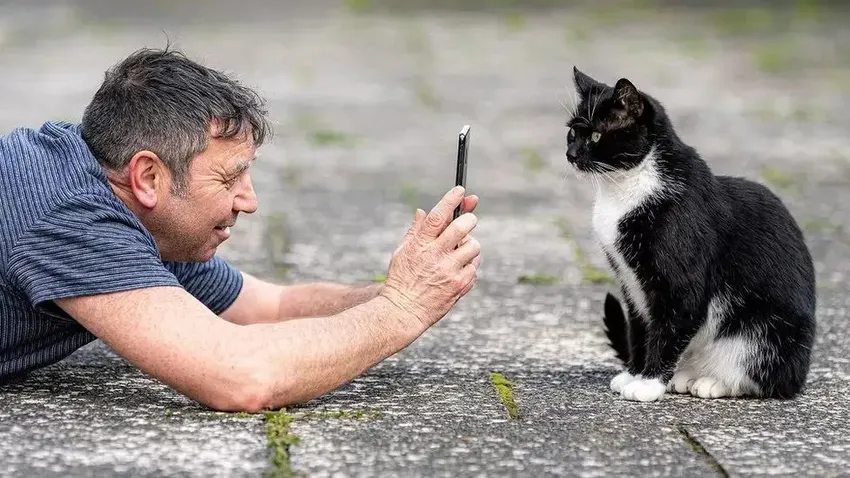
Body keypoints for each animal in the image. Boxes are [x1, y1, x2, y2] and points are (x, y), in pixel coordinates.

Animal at [564, 65, 816, 402]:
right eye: (571, 132)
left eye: (595, 135)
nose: (570, 153)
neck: (624, 189)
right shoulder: (631, 283)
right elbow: (639, 328)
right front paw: (634, 374)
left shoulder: (681, 279)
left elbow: (670, 325)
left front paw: (648, 383)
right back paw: (685, 376)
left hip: (766, 332)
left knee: (765, 377)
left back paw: (712, 382)